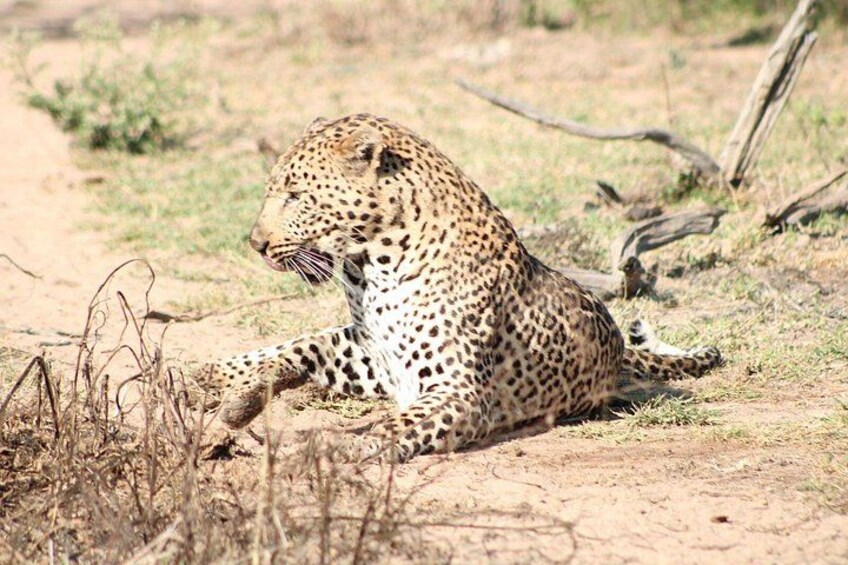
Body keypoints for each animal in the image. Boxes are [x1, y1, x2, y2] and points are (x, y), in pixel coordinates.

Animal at [194, 113, 722, 461]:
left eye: (296, 195)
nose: (255, 243)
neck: (369, 268)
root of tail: (617, 345)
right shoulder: (372, 350)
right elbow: (295, 350)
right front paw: (229, 385)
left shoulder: (456, 390)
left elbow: (396, 425)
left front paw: (338, 445)